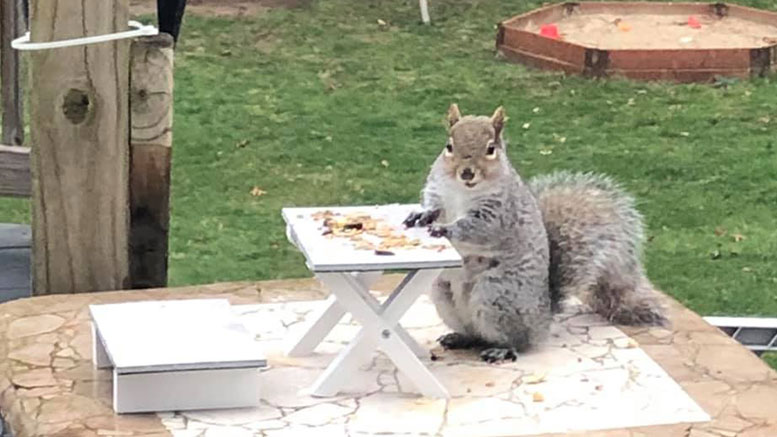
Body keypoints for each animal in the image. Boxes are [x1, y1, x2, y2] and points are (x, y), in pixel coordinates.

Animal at [404, 104, 664, 362]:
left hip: (497, 296)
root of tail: (543, 319)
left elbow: (479, 228)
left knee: (518, 341)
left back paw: (502, 349)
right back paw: (460, 337)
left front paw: (445, 228)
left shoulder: (500, 212)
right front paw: (421, 215)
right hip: (444, 294)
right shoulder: (438, 191)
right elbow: (433, 205)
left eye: (491, 149)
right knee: (476, 334)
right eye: (449, 146)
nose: (467, 173)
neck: (462, 190)